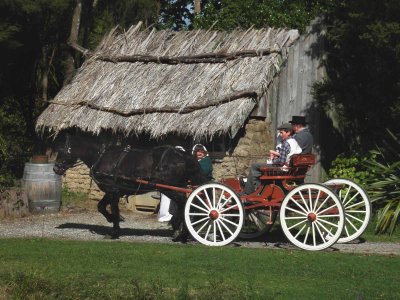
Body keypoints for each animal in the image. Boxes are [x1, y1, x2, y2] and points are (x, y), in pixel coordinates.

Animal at [53, 134, 208, 239]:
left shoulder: (113, 191)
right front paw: (112, 220)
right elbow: (101, 206)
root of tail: (183, 155)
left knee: (185, 203)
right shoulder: (112, 191)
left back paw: (182, 232)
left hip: (169, 188)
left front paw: (115, 231)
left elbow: (114, 209)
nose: (55, 169)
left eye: (61, 150)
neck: (102, 157)